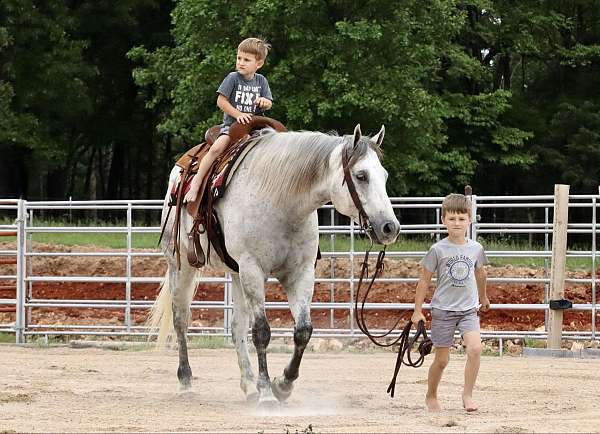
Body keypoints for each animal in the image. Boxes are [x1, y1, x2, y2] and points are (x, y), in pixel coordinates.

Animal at [150, 124, 400, 406]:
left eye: (384, 175)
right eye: (361, 175)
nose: (390, 227)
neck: (282, 201)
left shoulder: (300, 273)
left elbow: (303, 330)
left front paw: (282, 384)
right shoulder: (253, 269)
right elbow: (261, 331)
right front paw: (267, 391)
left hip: (236, 273)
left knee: (237, 327)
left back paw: (248, 386)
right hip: (181, 265)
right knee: (181, 319)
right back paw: (186, 381)